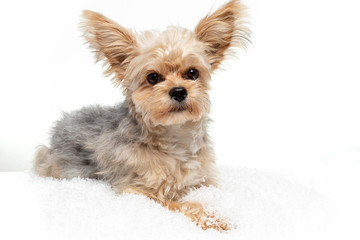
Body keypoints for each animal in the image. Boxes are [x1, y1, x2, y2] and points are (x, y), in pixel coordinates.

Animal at [33, 0, 250, 232]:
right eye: (153, 77)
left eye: (192, 73)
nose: (179, 91)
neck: (173, 138)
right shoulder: (136, 191)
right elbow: (181, 205)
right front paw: (215, 218)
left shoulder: (204, 180)